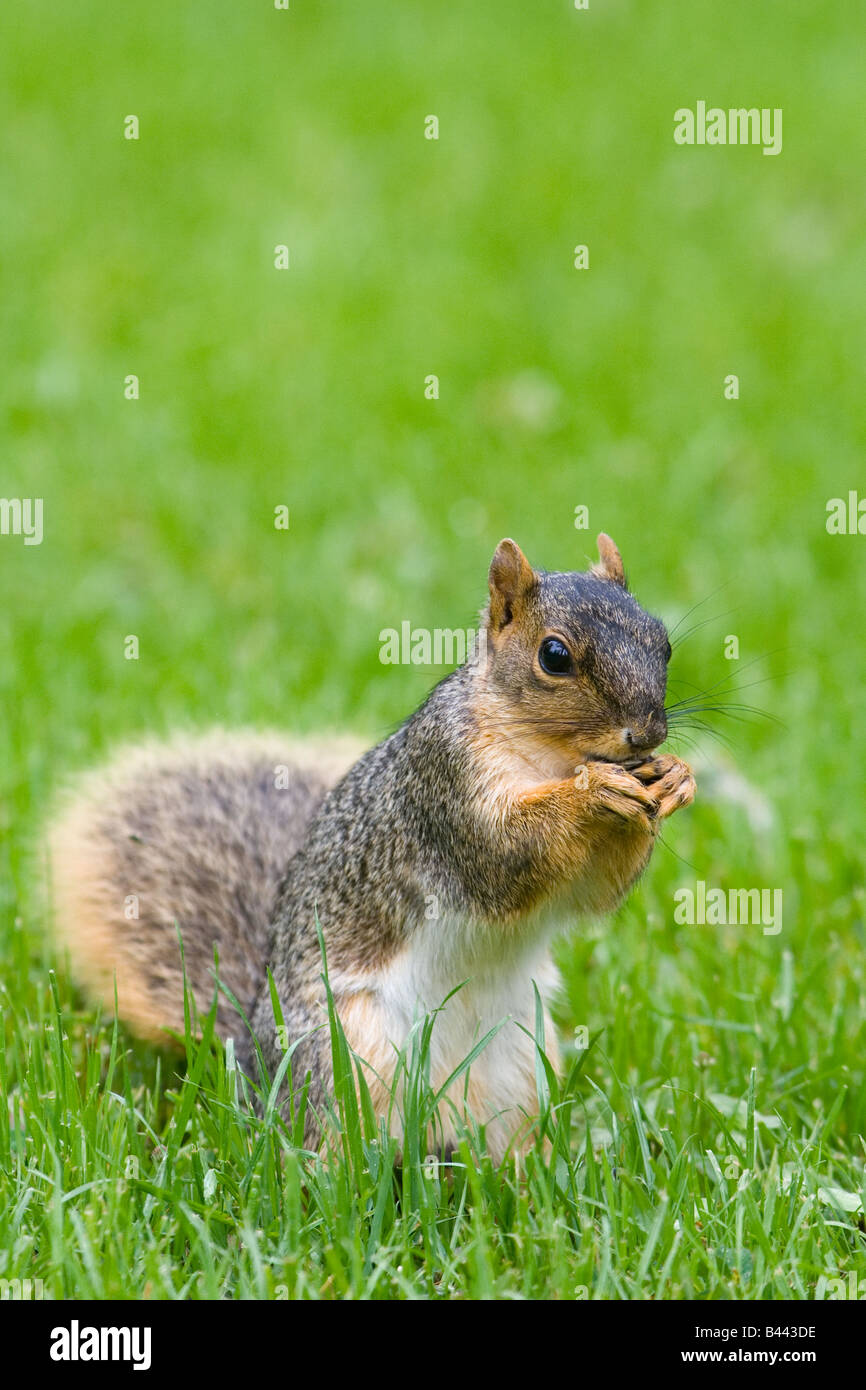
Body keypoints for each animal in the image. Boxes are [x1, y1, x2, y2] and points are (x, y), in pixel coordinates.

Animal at [48, 534, 695, 1162]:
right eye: (554, 656)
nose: (647, 734)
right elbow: (505, 857)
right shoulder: (444, 785)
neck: (552, 757)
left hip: (519, 1065)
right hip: (340, 1062)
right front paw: (593, 792)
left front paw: (675, 778)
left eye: (663, 643)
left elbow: (595, 891)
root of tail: (253, 1065)